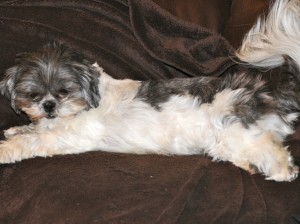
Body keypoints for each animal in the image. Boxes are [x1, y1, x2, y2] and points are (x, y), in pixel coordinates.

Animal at [0, 0, 300, 182]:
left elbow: (31, 141)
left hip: (237, 126)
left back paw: (282, 172)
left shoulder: (64, 138)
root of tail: (267, 94)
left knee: (273, 150)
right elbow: (31, 130)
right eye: (33, 95)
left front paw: (6, 148)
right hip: (223, 141)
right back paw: (250, 165)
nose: (48, 106)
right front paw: (17, 129)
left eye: (63, 92)